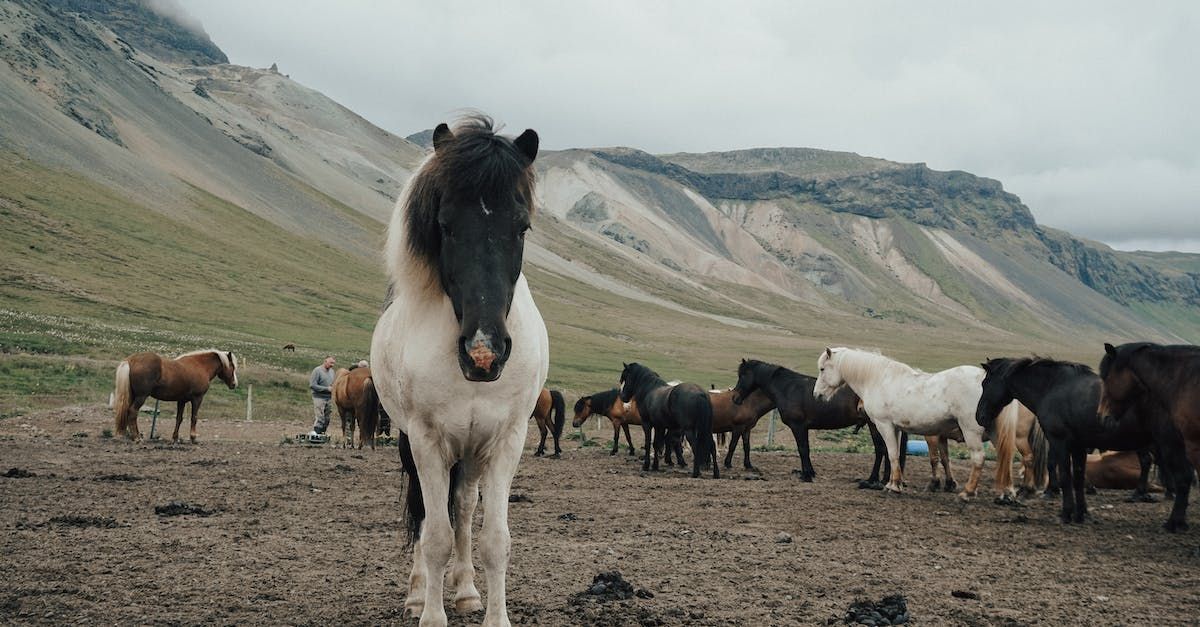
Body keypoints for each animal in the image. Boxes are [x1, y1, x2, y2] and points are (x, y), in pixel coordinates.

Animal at [369, 116, 546, 624]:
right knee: (425, 512)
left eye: (521, 227)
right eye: (445, 226)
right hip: (414, 441)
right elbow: (434, 535)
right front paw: (430, 613)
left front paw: (495, 615)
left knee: (464, 507)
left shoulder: (508, 439)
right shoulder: (426, 439)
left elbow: (495, 540)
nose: (484, 353)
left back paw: (466, 589)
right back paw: (416, 594)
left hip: (471, 452)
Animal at [815, 348, 1019, 502]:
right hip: (995, 432)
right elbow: (896, 455)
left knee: (978, 458)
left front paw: (893, 486)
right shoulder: (896, 428)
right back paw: (1007, 494)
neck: (879, 379)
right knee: (1006, 457)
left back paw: (967, 493)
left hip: (971, 431)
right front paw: (894, 483)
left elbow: (892, 454)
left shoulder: (885, 426)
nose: (817, 395)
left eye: (823, 369)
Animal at [975, 356, 1175, 527]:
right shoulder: (1079, 446)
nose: (980, 416)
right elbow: (1078, 477)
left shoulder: (1060, 442)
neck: (1052, 387)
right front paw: (1081, 513)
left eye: (985, 383)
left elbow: (1065, 475)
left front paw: (1066, 513)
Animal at [1098, 342, 1200, 531]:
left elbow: (1183, 477)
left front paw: (1175, 522)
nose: (1102, 417)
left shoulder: (1189, 445)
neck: (1183, 381)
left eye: (1106, 378)